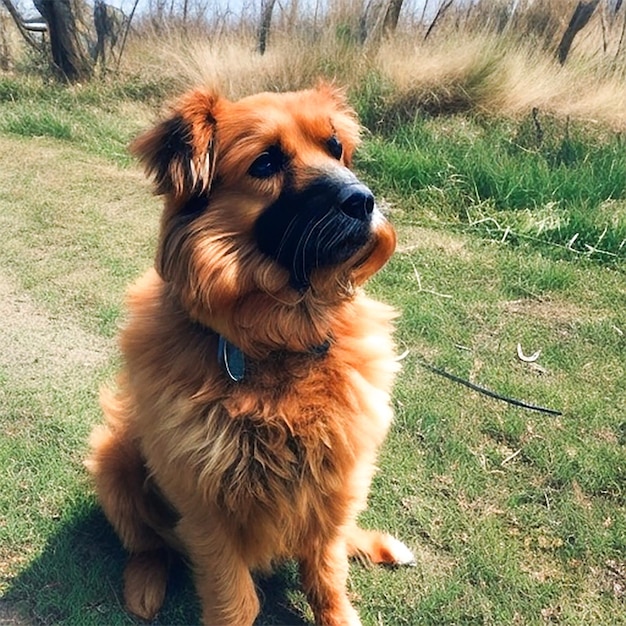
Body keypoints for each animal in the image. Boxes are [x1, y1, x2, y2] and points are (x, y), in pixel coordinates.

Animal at [85, 84, 412, 624]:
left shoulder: (334, 482)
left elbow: (327, 572)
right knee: (148, 543)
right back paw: (145, 584)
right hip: (114, 458)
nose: (364, 201)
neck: (278, 342)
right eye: (265, 163)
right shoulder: (204, 506)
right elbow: (235, 599)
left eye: (335, 147)